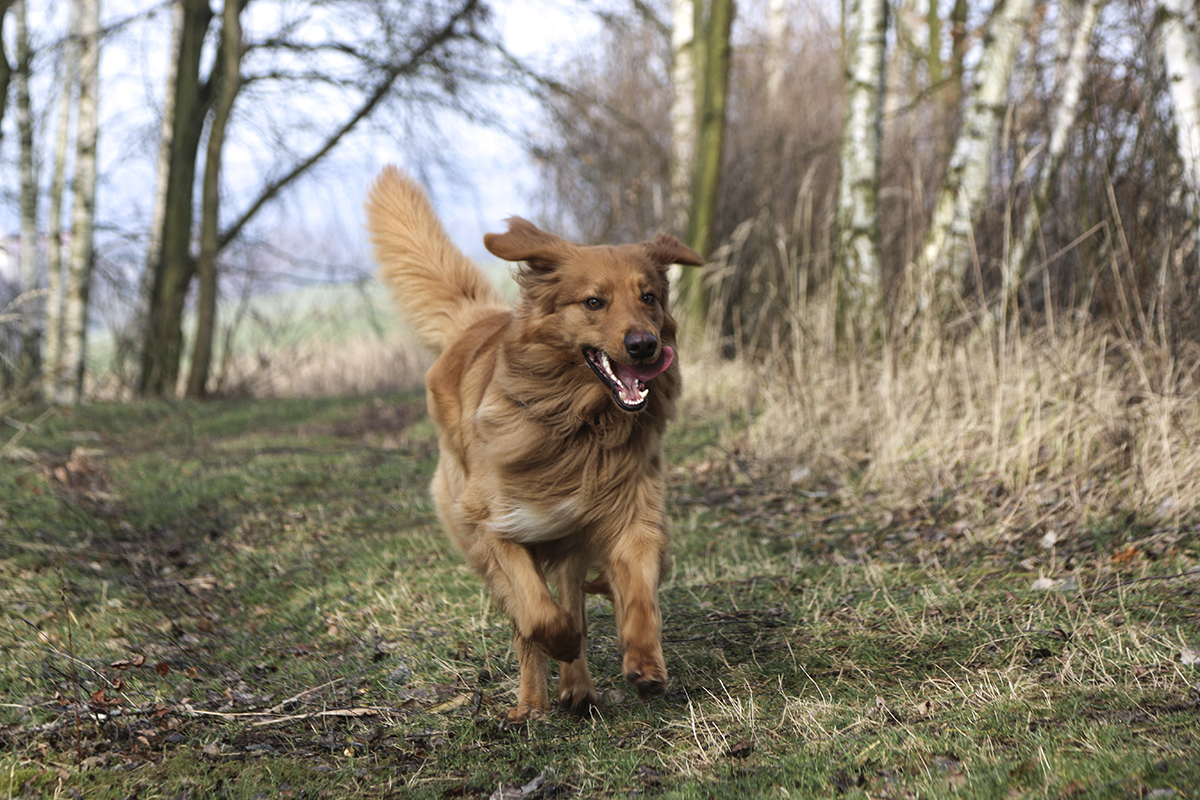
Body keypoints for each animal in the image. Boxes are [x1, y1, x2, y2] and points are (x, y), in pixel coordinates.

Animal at [364, 165, 700, 724]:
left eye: (648, 296)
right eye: (594, 302)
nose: (644, 346)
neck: (581, 423)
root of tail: (473, 321)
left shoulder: (628, 513)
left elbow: (636, 595)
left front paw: (646, 663)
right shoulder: (496, 525)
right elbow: (540, 614)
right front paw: (557, 643)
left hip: (569, 546)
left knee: (571, 599)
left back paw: (578, 689)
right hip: (473, 535)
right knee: (525, 622)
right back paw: (530, 702)